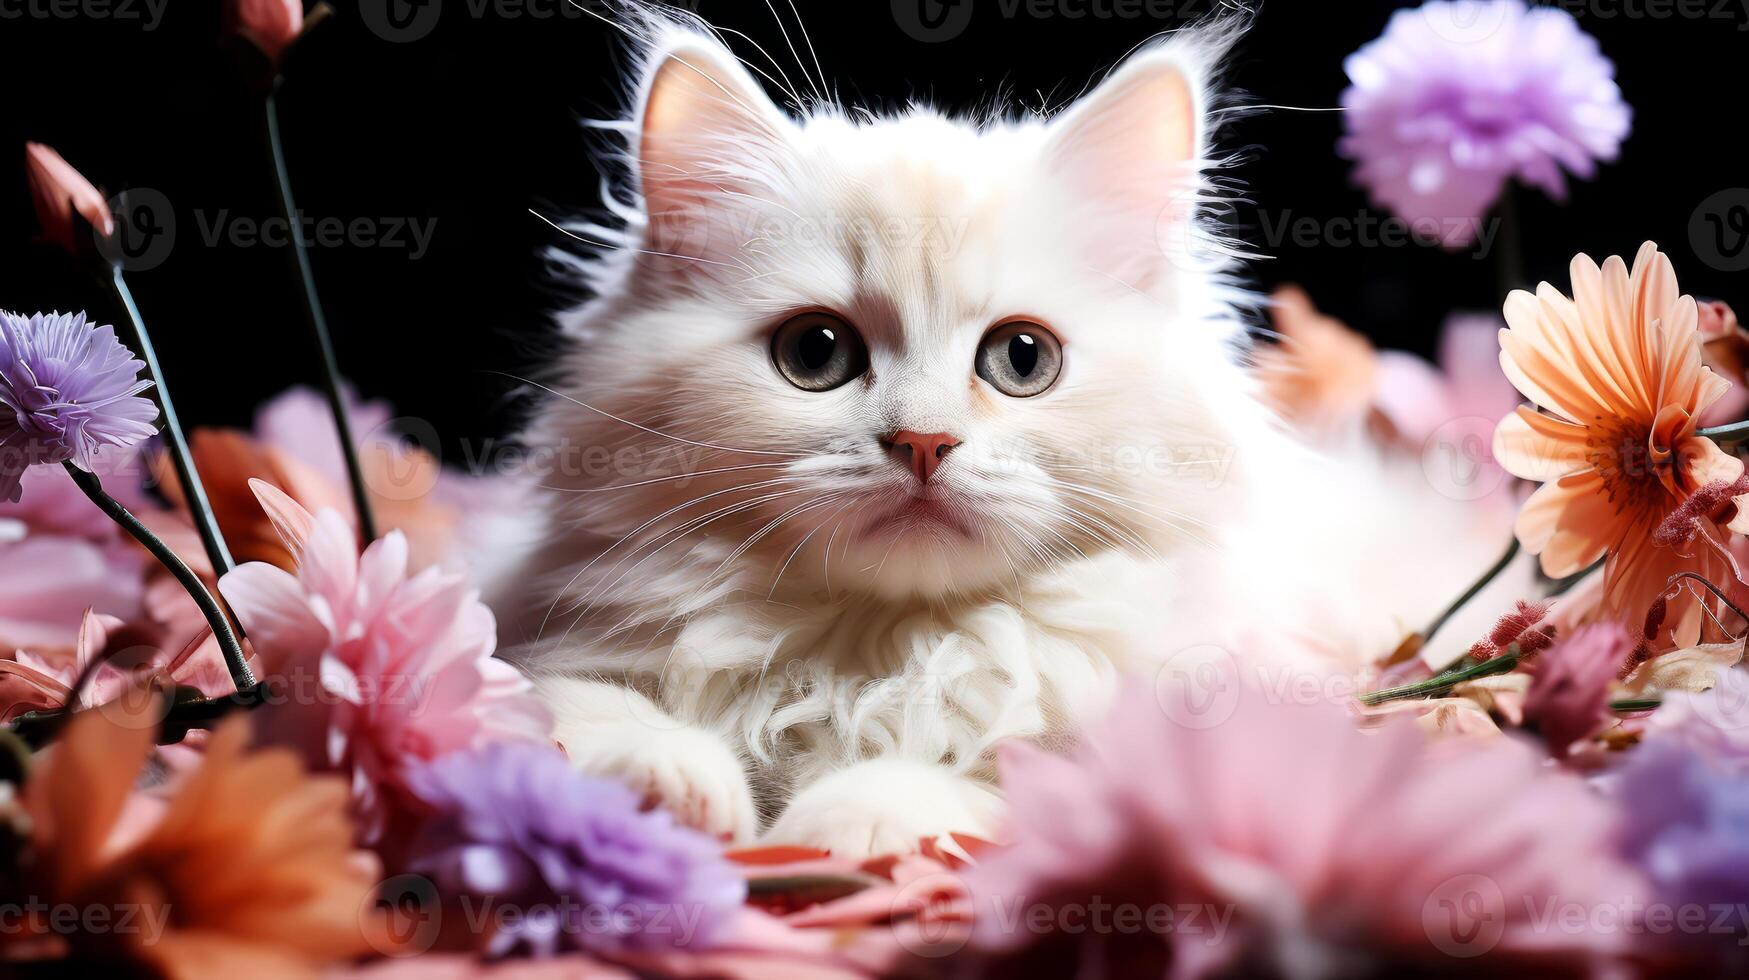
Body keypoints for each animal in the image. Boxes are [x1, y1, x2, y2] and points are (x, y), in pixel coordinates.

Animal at [496, 19, 1518, 854]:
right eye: (815, 352)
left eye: (1021, 359)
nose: (922, 442)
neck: (888, 654)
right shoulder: (540, 638)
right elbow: (583, 713)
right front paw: (671, 781)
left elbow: (984, 783)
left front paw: (848, 818)